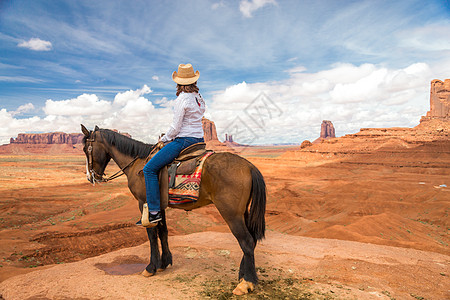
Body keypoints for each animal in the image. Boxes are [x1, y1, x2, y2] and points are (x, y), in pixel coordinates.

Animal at [81, 125, 266, 296]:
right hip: (243, 212)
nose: (91, 177)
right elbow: (163, 232)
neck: (137, 163)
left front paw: (151, 267)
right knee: (252, 240)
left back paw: (246, 283)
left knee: (246, 241)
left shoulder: (144, 203)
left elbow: (151, 234)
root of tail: (249, 166)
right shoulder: (158, 206)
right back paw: (242, 275)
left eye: (86, 149)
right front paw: (164, 263)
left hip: (231, 214)